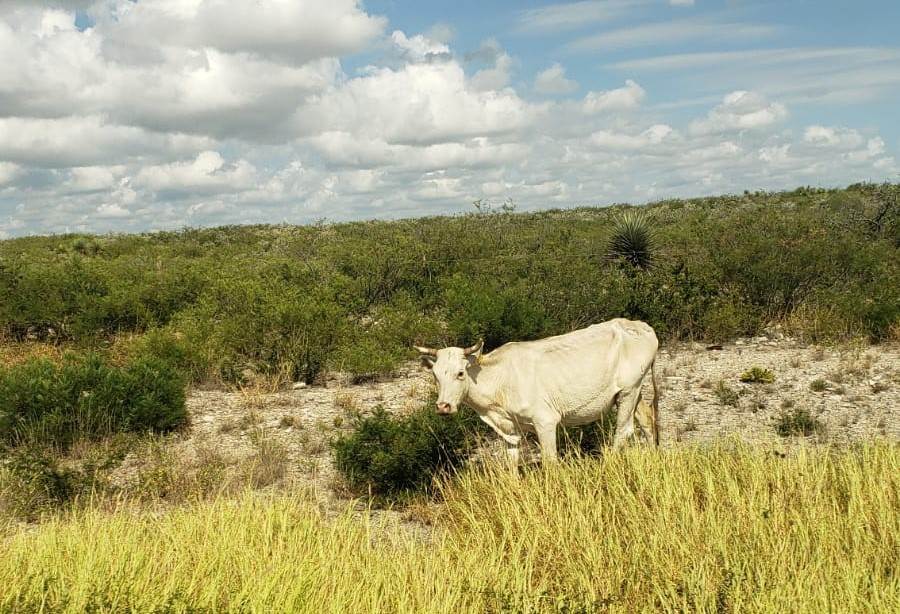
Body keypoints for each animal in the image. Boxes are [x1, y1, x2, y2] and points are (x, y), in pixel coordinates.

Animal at [416, 320, 660, 464]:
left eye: (460, 373)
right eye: (435, 375)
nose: (443, 406)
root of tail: (640, 325)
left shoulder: (546, 421)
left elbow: (550, 461)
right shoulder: (510, 429)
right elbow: (511, 464)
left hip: (629, 390)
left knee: (624, 430)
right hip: (633, 391)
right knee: (647, 420)